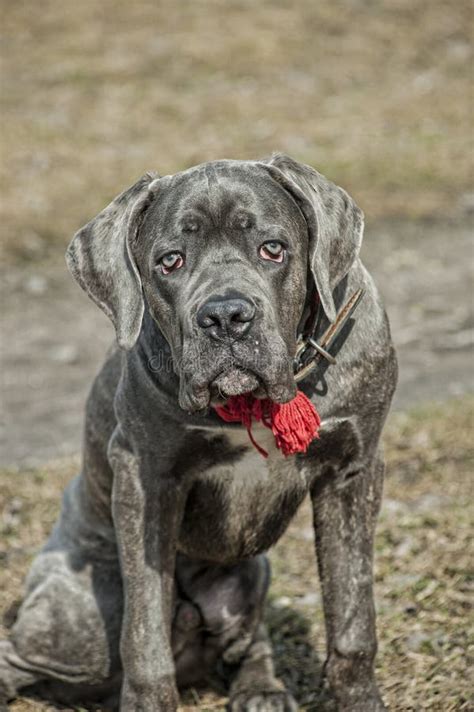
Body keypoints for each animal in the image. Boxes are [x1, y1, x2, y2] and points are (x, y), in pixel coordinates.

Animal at [0, 156, 396, 712]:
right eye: (170, 261)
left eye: (273, 248)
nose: (226, 315)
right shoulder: (146, 479)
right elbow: (145, 630)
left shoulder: (353, 472)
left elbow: (353, 611)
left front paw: (358, 697)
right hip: (83, 620)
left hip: (252, 572)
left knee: (250, 636)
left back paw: (261, 689)